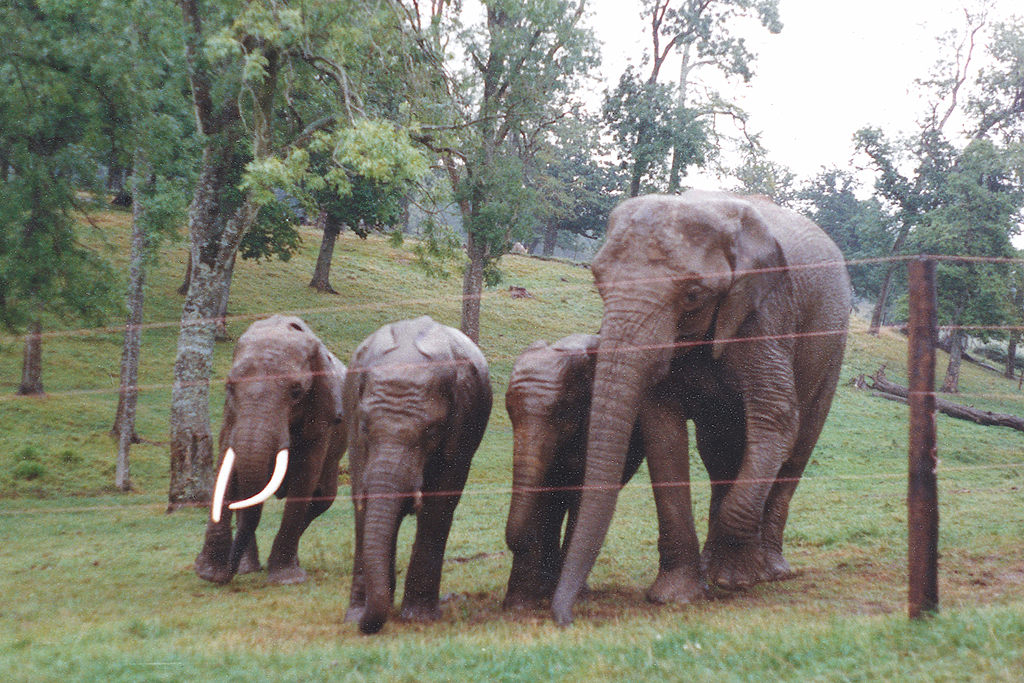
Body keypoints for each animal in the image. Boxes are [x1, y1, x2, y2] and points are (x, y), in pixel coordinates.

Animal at [194, 314, 347, 586]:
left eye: (296, 392)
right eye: (230, 387)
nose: (229, 574)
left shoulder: (322, 416)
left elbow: (305, 479)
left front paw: (287, 579)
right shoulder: (230, 413)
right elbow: (226, 465)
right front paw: (210, 574)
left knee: (323, 498)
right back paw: (249, 568)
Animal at [343, 316, 492, 634]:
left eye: (431, 433)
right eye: (365, 426)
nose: (365, 625)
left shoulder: (461, 428)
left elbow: (439, 505)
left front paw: (418, 618)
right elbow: (361, 499)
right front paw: (356, 615)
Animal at [503, 333, 647, 609]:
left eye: (561, 411)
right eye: (509, 411)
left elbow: (581, 496)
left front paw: (573, 596)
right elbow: (544, 494)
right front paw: (520, 602)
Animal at [551, 190, 851, 626]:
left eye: (693, 295)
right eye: (597, 281)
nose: (566, 617)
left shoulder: (766, 310)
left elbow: (776, 417)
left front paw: (735, 580)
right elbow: (661, 431)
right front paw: (676, 597)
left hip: (833, 346)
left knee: (797, 449)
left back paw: (769, 571)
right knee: (719, 456)